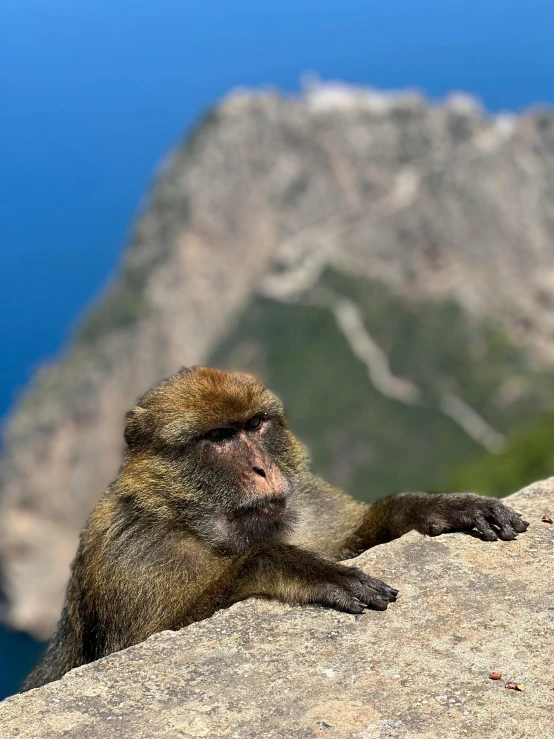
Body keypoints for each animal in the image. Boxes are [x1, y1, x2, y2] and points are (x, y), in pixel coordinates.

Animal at [21, 370, 528, 692]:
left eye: (255, 424)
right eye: (220, 437)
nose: (263, 469)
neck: (202, 524)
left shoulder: (307, 501)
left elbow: (356, 536)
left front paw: (435, 508)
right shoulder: (131, 552)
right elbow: (145, 643)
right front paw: (300, 568)